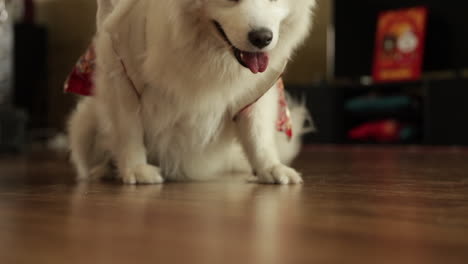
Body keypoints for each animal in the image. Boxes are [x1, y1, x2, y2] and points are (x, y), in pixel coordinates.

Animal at [66, 0, 314, 186]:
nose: (262, 38)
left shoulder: (256, 90)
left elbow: (258, 134)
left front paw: (270, 168)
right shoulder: (121, 72)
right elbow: (128, 130)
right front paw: (136, 169)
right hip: (84, 125)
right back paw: (107, 168)